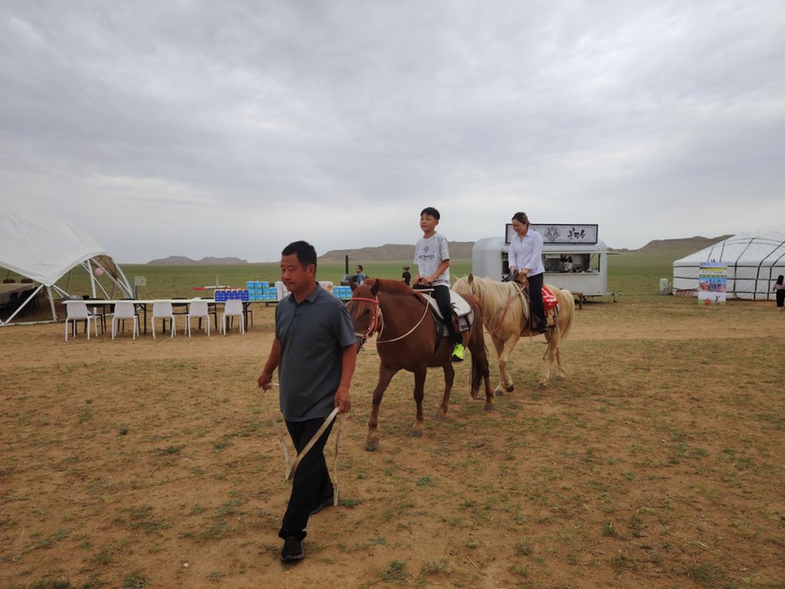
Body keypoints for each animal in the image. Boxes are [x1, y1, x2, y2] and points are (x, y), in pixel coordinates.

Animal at [348, 276, 490, 450]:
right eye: (348, 308)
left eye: (367, 310)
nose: (353, 343)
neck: (403, 324)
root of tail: (473, 299)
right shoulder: (387, 367)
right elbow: (377, 395)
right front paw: (372, 436)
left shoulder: (420, 368)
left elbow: (418, 394)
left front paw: (418, 425)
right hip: (444, 358)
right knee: (450, 376)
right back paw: (442, 410)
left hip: (477, 346)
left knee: (485, 368)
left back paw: (490, 401)